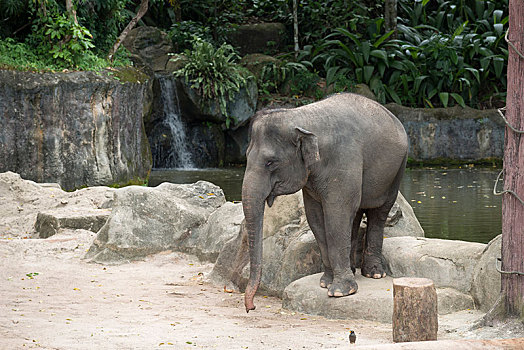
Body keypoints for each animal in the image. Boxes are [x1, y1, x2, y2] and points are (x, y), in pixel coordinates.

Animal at [242, 93, 410, 312]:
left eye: (270, 162)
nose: (251, 307)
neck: (301, 116)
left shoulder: (343, 162)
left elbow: (336, 218)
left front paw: (339, 291)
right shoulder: (311, 180)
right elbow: (316, 219)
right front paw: (325, 283)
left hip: (397, 169)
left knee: (378, 213)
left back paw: (374, 273)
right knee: (355, 214)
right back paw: (353, 269)